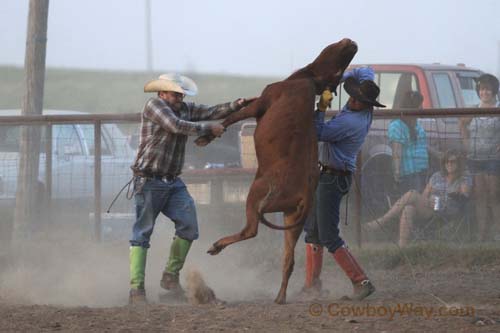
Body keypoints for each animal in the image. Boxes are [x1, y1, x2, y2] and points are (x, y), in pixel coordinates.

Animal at [197, 39, 358, 304]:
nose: (350, 43)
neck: (307, 80)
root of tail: (305, 193)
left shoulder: (262, 102)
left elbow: (233, 117)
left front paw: (206, 136)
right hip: (293, 219)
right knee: (288, 259)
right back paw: (280, 296)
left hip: (255, 195)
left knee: (250, 230)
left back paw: (217, 246)